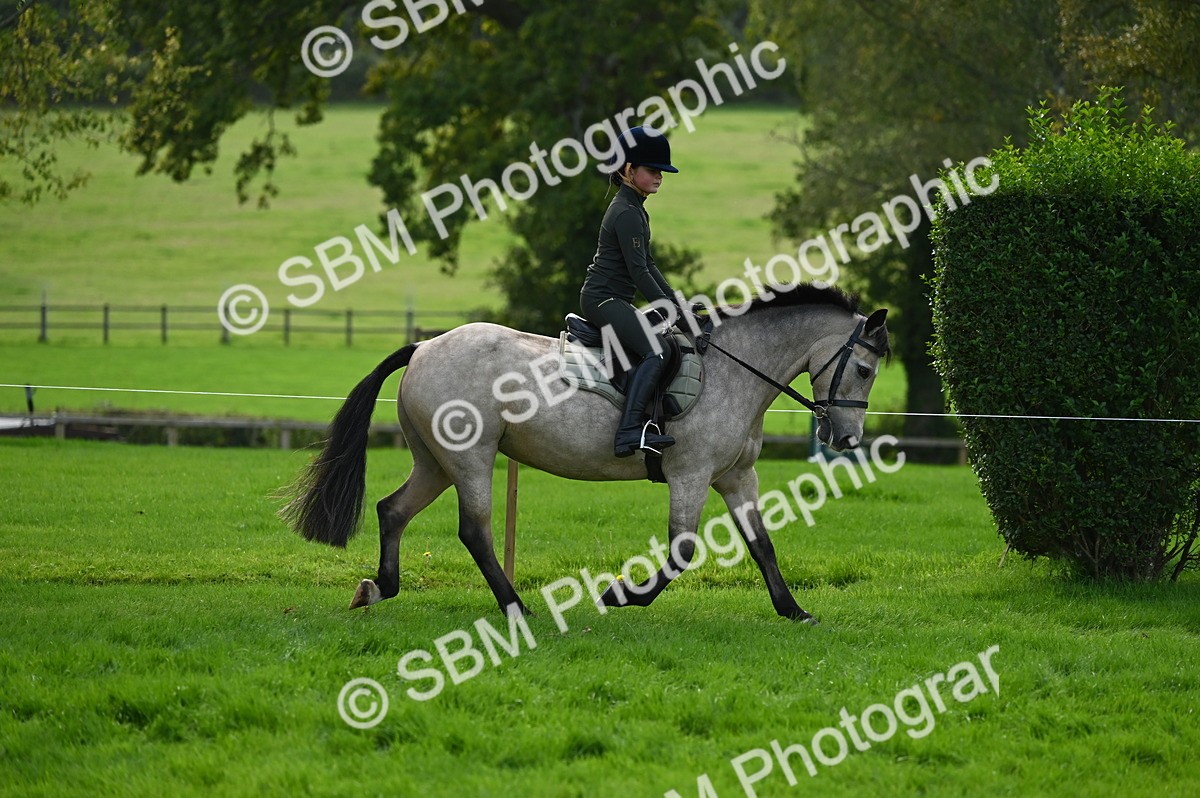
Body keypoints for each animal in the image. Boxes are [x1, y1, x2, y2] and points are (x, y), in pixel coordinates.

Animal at [281, 284, 890, 622]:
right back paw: (516, 607)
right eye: (864, 368)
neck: (734, 368)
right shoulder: (690, 474)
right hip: (471, 457)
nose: (846, 440)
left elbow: (762, 545)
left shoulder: (738, 477)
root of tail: (425, 345)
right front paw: (619, 596)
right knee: (474, 530)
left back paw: (377, 589)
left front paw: (793, 611)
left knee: (393, 510)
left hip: (435, 462)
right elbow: (681, 551)